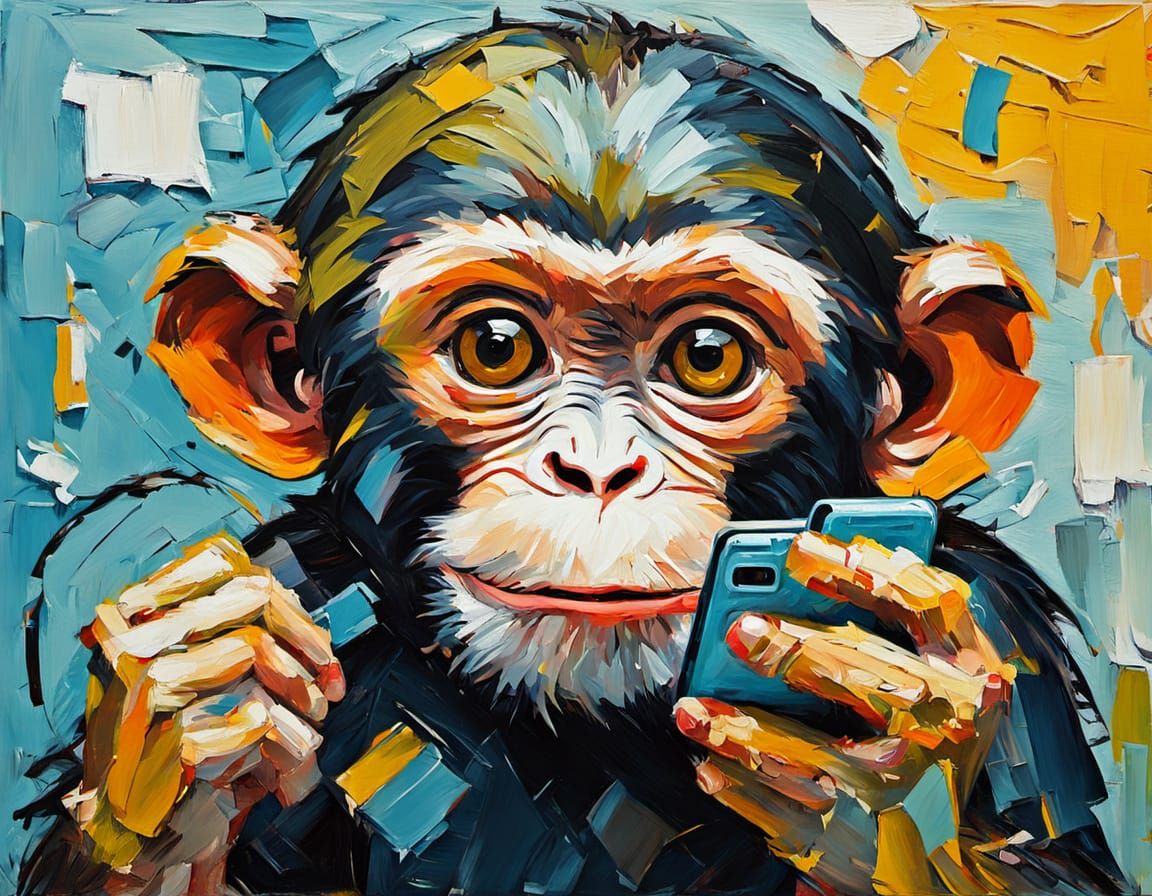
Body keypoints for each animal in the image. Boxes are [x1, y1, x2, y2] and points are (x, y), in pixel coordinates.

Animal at [17, 10, 1134, 896]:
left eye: (707, 355)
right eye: (496, 345)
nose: (598, 468)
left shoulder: (1008, 634)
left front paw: (895, 785)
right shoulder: (300, 572)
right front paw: (184, 720)